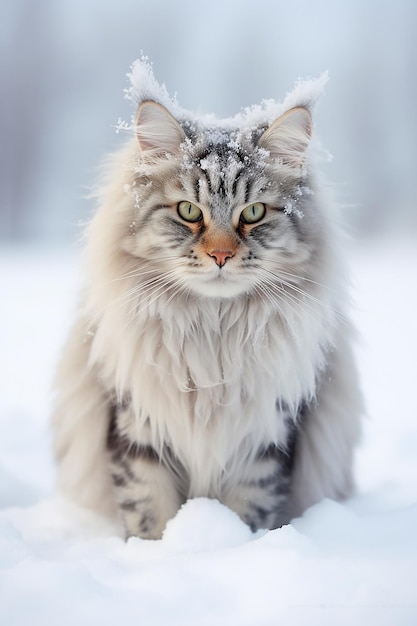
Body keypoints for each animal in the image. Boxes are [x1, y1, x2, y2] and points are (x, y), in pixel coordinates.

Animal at [50, 64, 360, 540]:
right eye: (188, 211)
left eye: (253, 213)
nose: (220, 256)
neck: (213, 335)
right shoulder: (137, 428)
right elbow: (148, 514)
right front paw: (156, 551)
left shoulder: (266, 439)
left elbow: (248, 514)